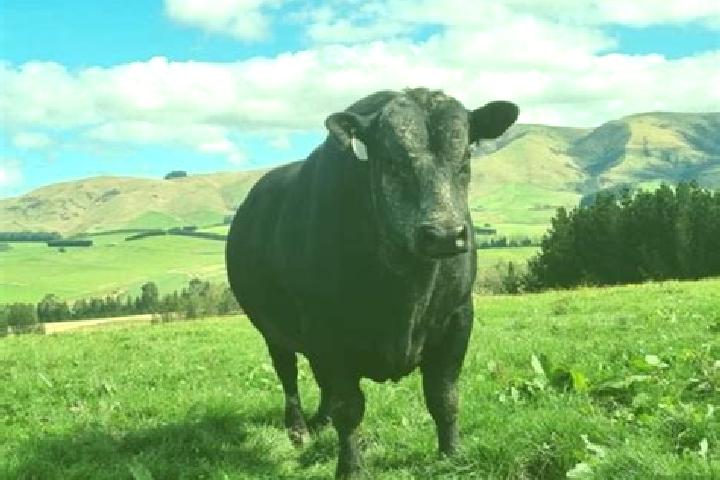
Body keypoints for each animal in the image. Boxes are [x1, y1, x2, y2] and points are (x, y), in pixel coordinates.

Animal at [226, 88, 518, 478]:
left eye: (466, 156)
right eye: (392, 162)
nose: (444, 234)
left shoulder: (458, 316)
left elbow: (444, 395)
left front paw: (452, 455)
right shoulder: (324, 330)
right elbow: (348, 407)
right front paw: (350, 467)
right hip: (272, 330)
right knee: (288, 376)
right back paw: (299, 429)